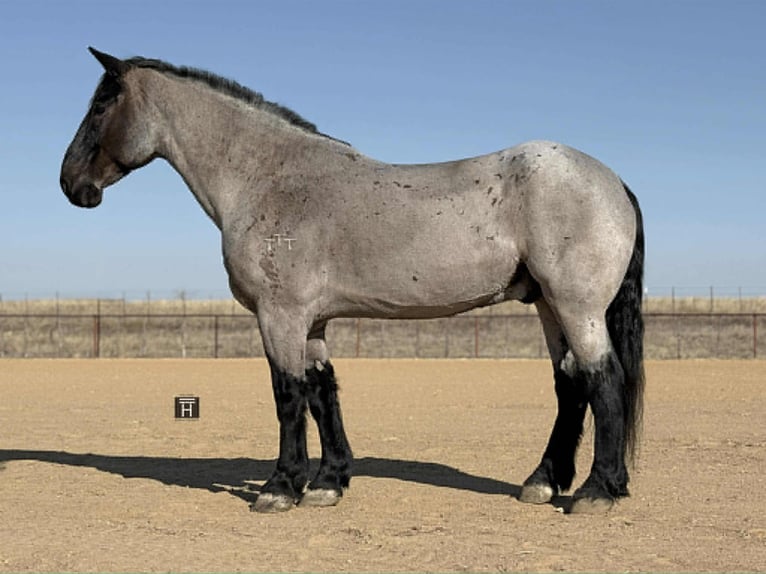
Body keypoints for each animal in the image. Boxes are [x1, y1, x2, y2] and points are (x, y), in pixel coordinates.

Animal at [60, 48, 644, 514]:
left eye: (101, 106)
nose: (71, 183)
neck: (268, 177)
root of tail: (612, 179)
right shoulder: (312, 321)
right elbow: (323, 392)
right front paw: (328, 482)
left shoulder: (280, 316)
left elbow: (287, 395)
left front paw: (280, 487)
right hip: (549, 307)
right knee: (571, 385)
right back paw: (543, 483)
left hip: (577, 307)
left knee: (604, 380)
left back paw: (597, 491)